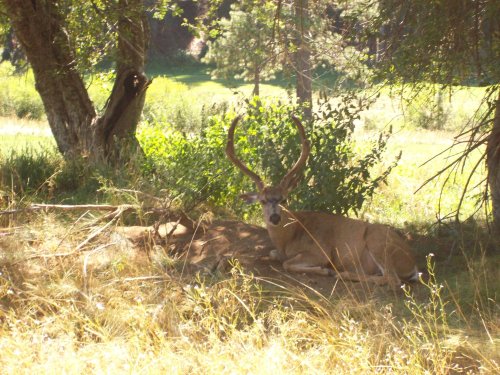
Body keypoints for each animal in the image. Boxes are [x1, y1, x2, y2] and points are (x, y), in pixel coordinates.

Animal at [226, 116, 418, 290]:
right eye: (262, 201)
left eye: (284, 199)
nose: (274, 218)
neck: (290, 236)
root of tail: (412, 263)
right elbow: (275, 255)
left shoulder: (321, 251)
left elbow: (287, 263)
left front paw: (324, 270)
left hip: (378, 242)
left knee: (392, 279)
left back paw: (341, 274)